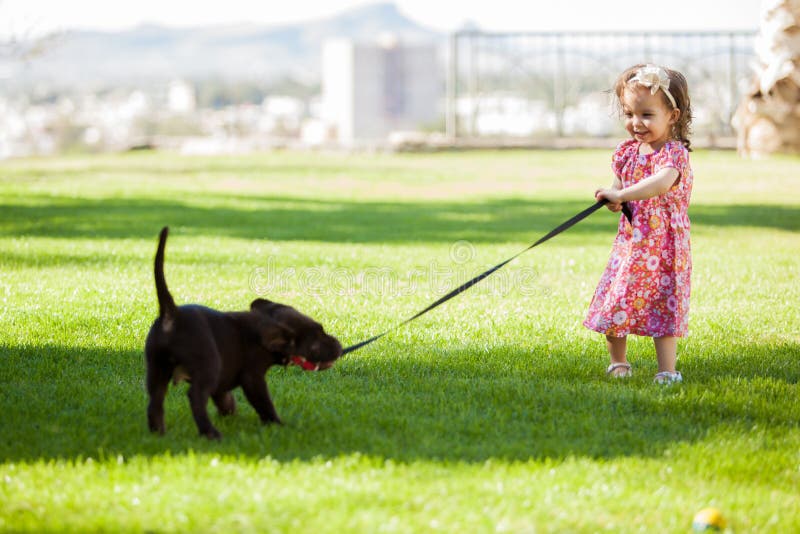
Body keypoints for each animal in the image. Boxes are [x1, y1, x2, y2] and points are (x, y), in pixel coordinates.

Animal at [147, 228, 340, 442]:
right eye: (318, 334)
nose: (339, 345)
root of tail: (171, 314)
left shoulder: (223, 379)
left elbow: (224, 398)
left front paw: (230, 414)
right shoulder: (252, 377)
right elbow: (263, 402)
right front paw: (277, 424)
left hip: (156, 367)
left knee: (155, 399)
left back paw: (158, 432)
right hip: (207, 366)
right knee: (195, 396)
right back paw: (210, 433)